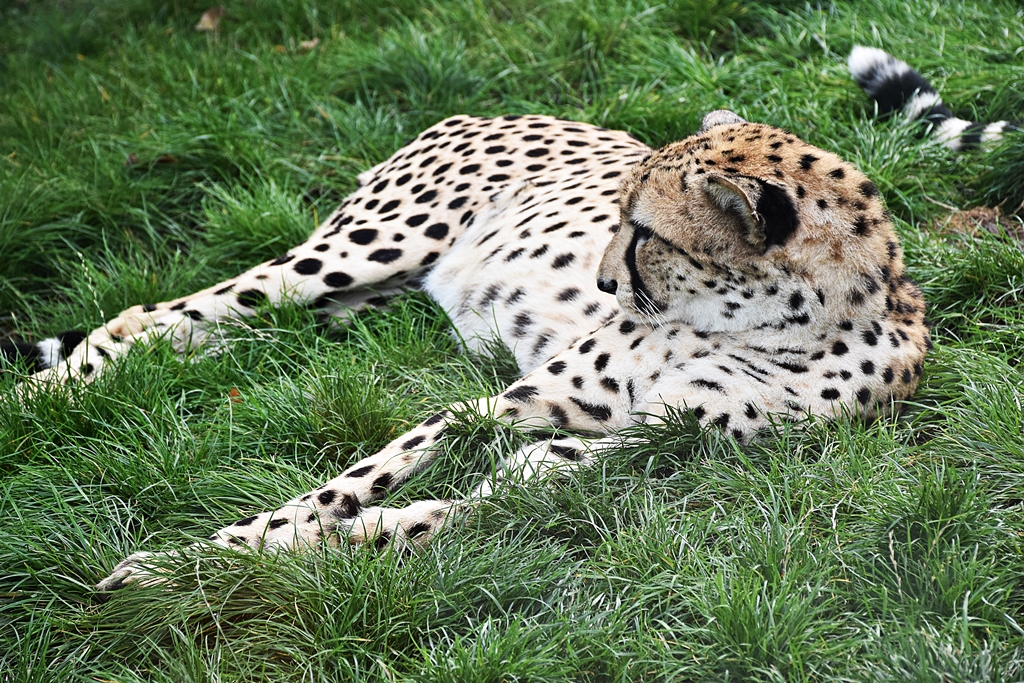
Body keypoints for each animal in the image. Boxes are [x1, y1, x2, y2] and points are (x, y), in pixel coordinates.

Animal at [13, 104, 930, 590]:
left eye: (642, 233)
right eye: (620, 218)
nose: (604, 284)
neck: (761, 319)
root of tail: (482, 109)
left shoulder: (646, 446)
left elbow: (478, 503)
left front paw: (352, 541)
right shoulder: (508, 400)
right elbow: (345, 482)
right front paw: (203, 558)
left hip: (350, 302)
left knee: (198, 330)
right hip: (359, 251)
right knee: (161, 310)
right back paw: (42, 397)